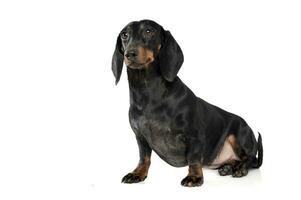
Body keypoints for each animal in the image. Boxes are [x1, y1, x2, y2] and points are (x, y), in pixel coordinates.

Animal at [111, 19, 262, 187]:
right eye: (124, 35)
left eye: (149, 31)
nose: (129, 53)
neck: (148, 92)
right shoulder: (140, 136)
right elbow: (144, 157)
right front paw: (138, 173)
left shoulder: (195, 136)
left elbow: (193, 158)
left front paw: (194, 177)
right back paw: (228, 167)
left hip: (239, 136)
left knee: (249, 158)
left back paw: (240, 168)